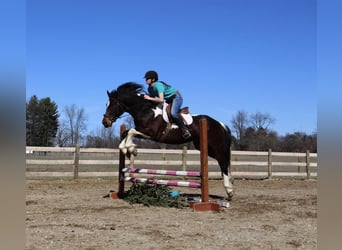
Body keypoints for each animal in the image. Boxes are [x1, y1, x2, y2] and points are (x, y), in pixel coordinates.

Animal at [103, 83, 234, 200]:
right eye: (106, 104)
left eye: (112, 105)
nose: (105, 123)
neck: (145, 110)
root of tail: (220, 124)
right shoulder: (142, 131)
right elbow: (126, 133)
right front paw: (127, 150)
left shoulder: (150, 133)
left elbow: (130, 132)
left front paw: (131, 149)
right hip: (204, 147)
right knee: (224, 163)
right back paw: (230, 189)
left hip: (216, 147)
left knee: (223, 163)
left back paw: (229, 190)